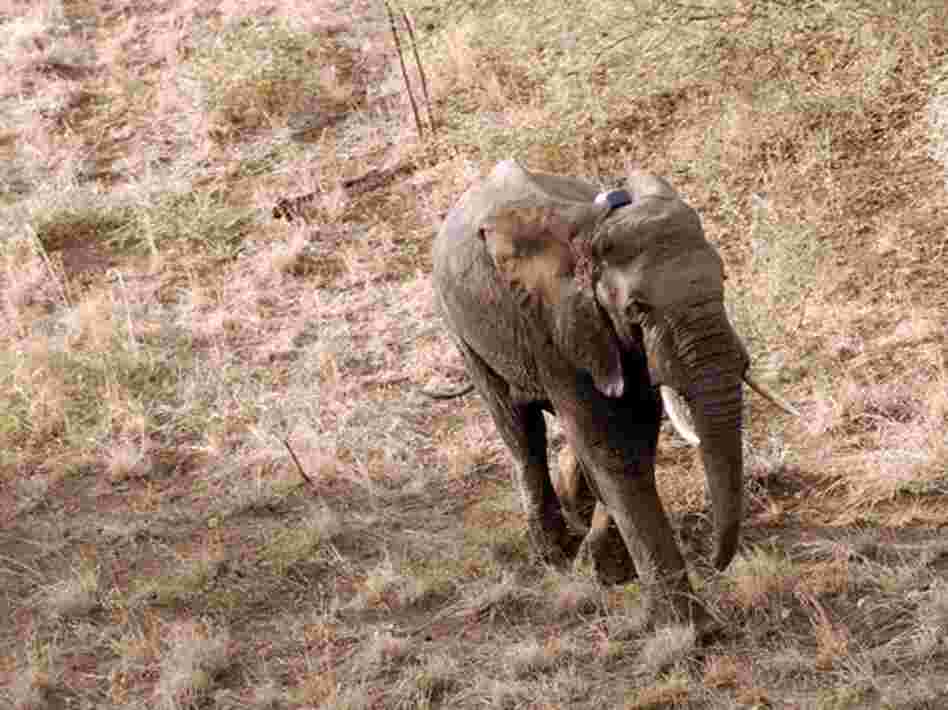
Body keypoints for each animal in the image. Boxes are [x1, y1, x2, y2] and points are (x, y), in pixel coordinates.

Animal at [432, 160, 795, 626]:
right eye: (637, 308)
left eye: (724, 280)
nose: (716, 564)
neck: (596, 228)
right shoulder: (553, 323)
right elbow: (608, 444)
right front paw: (687, 628)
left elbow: (637, 429)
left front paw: (609, 570)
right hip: (461, 327)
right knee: (518, 428)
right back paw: (554, 553)